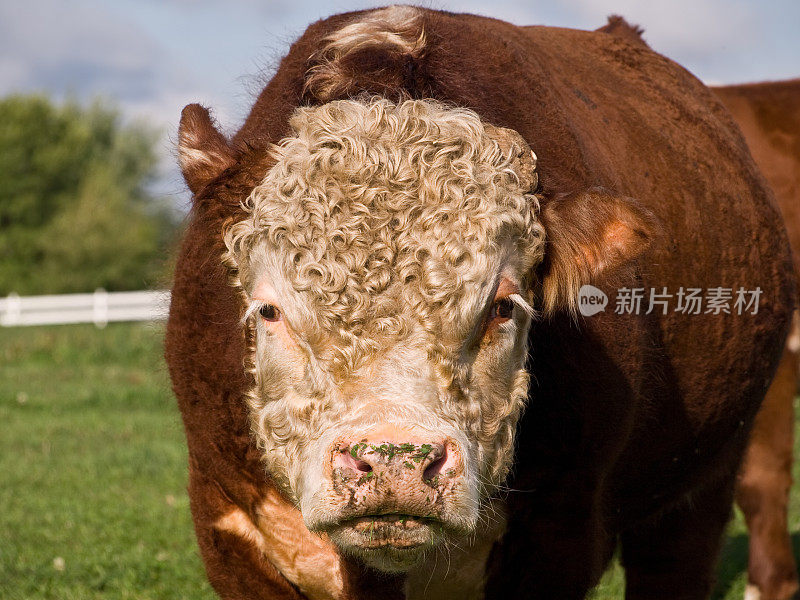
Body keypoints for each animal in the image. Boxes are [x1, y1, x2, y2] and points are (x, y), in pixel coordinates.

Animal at [166, 5, 796, 600]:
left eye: (504, 307)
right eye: (268, 311)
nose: (395, 461)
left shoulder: (560, 531)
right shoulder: (229, 528)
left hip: (706, 478)